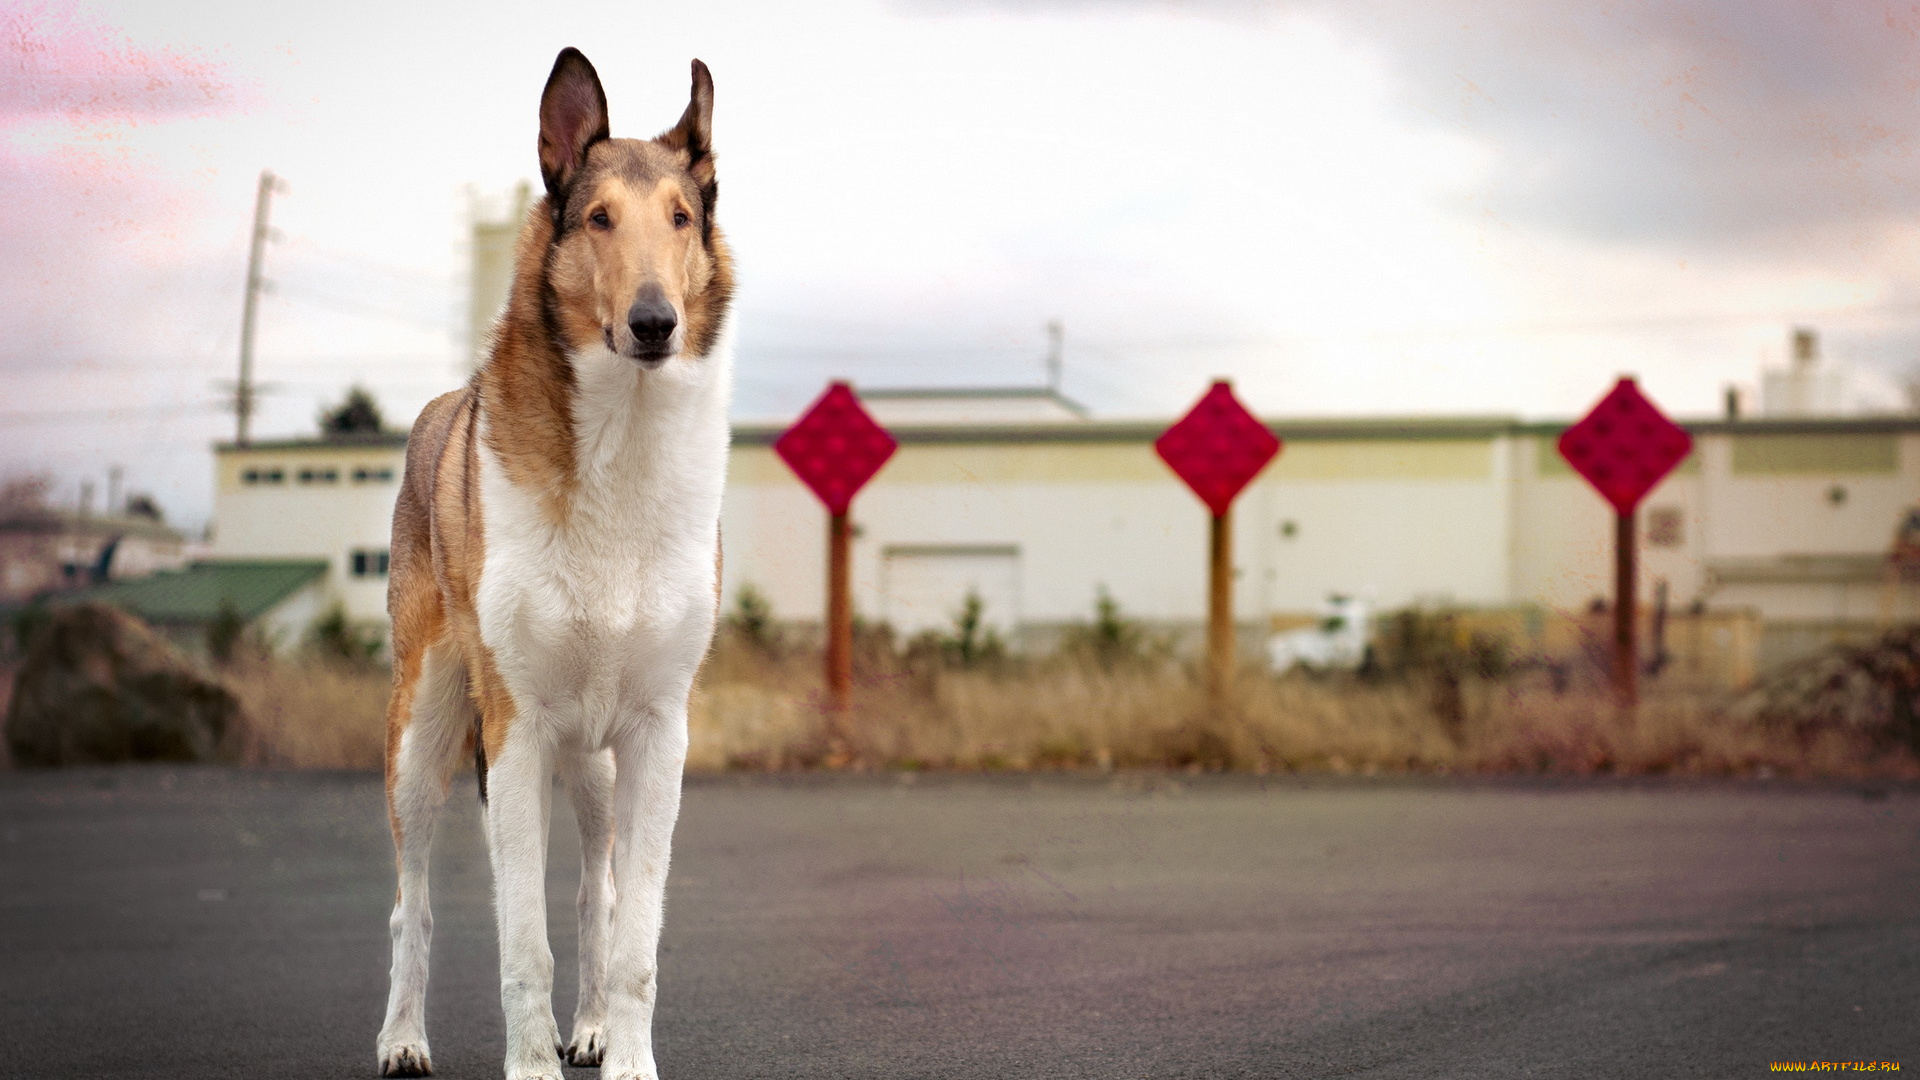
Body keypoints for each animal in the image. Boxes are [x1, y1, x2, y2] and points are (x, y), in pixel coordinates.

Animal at [374, 50, 733, 1076]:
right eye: (598, 217)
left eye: (681, 218)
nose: (654, 322)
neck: (620, 445)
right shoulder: (517, 727)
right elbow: (517, 938)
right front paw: (529, 1063)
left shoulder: (657, 734)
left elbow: (634, 931)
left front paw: (628, 1056)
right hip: (424, 741)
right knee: (411, 902)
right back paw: (402, 1039)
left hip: (595, 769)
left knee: (592, 896)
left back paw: (593, 1026)